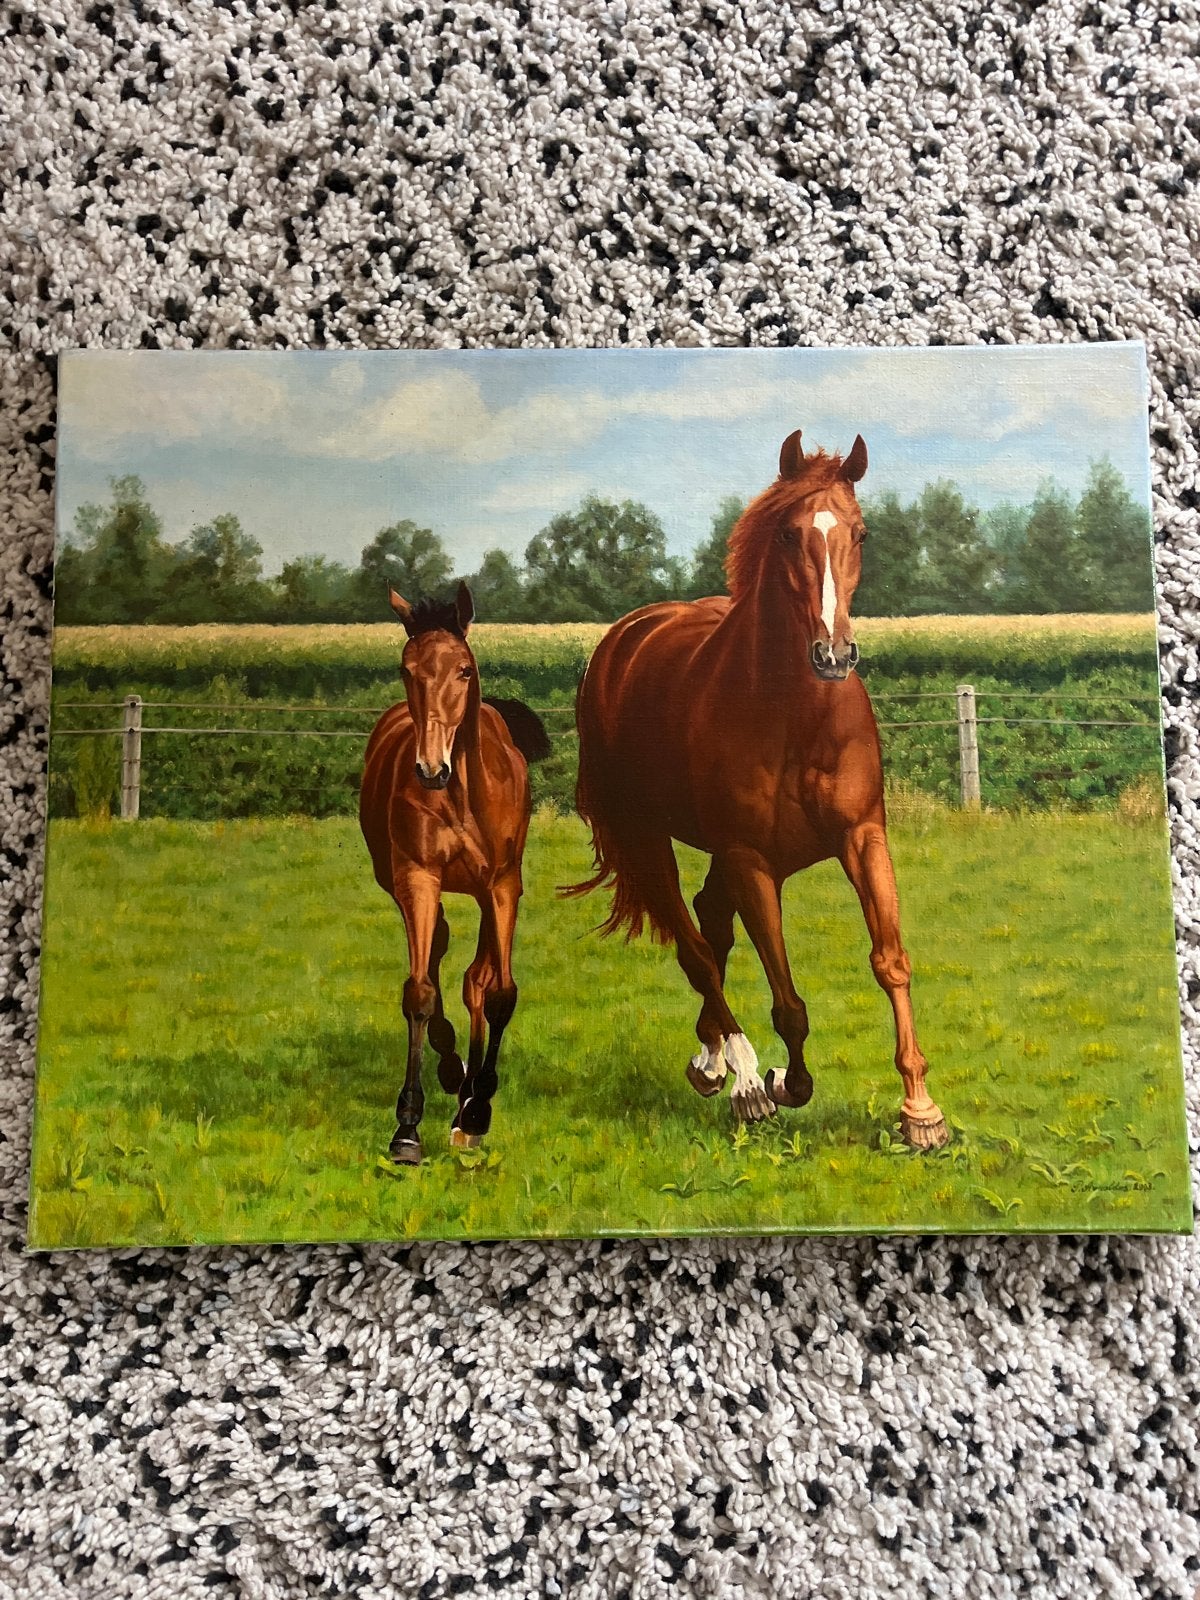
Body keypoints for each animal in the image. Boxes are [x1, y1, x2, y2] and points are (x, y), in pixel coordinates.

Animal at [360, 581, 551, 1164]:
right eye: (407, 670)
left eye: (464, 669)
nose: (430, 768)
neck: (464, 793)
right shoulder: (418, 880)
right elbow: (420, 991)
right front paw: (407, 1129)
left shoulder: (503, 886)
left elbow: (499, 991)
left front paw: (478, 1110)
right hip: (406, 885)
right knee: (440, 953)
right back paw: (451, 1072)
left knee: (475, 979)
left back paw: (467, 1100)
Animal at [569, 429, 948, 1150]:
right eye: (788, 534)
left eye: (861, 533)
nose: (834, 655)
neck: (797, 713)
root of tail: (624, 639)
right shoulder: (753, 860)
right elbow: (788, 1001)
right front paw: (777, 1083)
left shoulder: (862, 837)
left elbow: (891, 960)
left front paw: (921, 1112)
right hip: (647, 836)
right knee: (695, 948)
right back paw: (741, 1079)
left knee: (708, 924)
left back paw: (710, 1060)